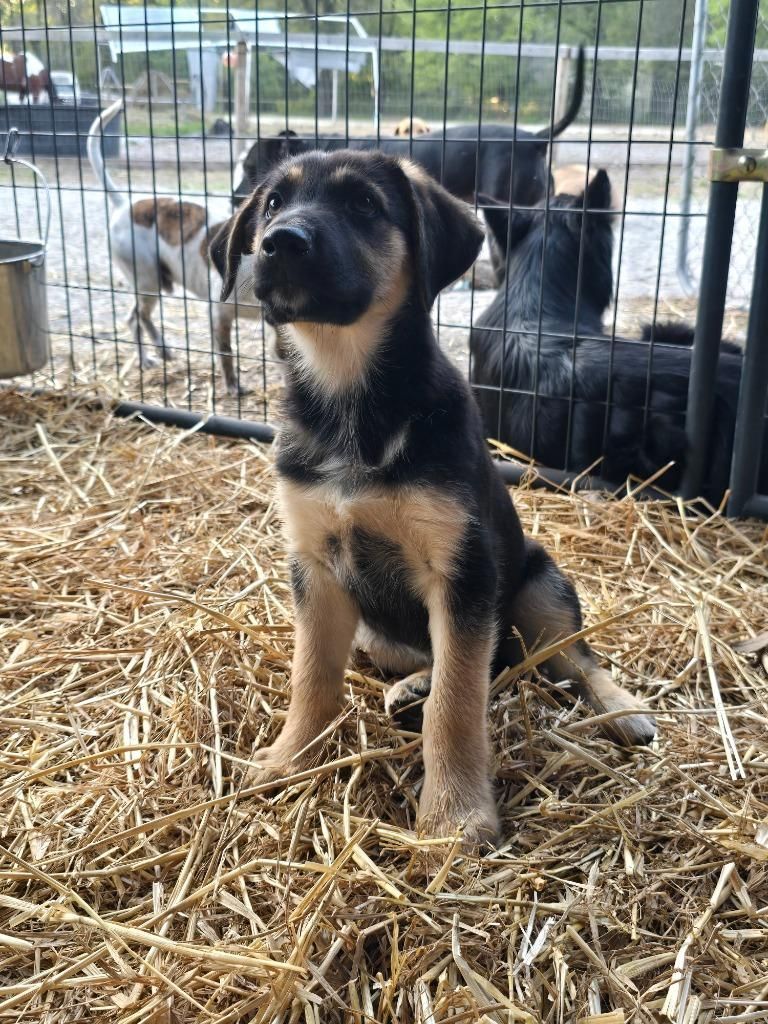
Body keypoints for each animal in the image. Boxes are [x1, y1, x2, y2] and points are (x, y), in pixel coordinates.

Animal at [88, 99, 260, 395]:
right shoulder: (219, 315)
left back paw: (156, 352)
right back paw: (152, 352)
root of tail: (125, 204)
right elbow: (226, 353)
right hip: (148, 281)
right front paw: (232, 385)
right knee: (137, 318)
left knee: (135, 318)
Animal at [211, 149, 655, 845]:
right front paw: (289, 757)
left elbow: (458, 700)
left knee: (564, 659)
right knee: (487, 660)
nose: (279, 242)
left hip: (541, 582)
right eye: (274, 204)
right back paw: (411, 686)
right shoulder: (314, 565)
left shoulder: (463, 573)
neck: (349, 397)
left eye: (365, 204)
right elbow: (312, 674)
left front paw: (454, 815)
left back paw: (622, 709)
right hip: (381, 631)